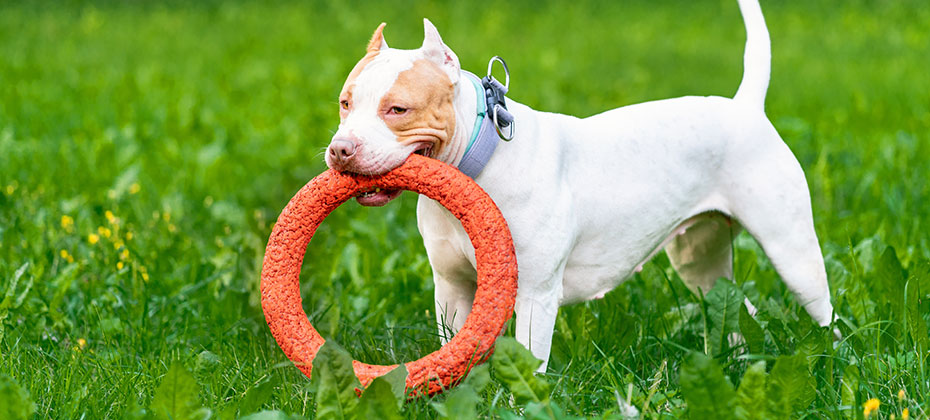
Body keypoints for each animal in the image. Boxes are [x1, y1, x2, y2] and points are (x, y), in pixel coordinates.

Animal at [326, 0, 832, 370]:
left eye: (398, 110)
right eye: (345, 103)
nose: (340, 150)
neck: (478, 167)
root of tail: (745, 106)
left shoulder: (535, 294)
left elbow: (530, 361)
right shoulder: (451, 288)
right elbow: (454, 347)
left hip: (792, 252)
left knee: (824, 310)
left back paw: (833, 361)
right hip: (700, 262)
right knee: (731, 306)